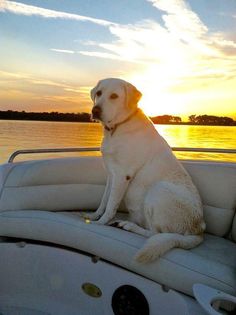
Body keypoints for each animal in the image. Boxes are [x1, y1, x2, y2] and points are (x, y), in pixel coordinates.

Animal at [87, 78, 206, 262]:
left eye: (114, 96)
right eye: (99, 93)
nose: (95, 110)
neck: (119, 127)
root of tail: (199, 230)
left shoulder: (122, 176)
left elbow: (111, 205)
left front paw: (99, 224)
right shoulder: (111, 175)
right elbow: (104, 201)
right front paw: (94, 216)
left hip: (159, 190)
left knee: (154, 234)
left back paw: (129, 225)